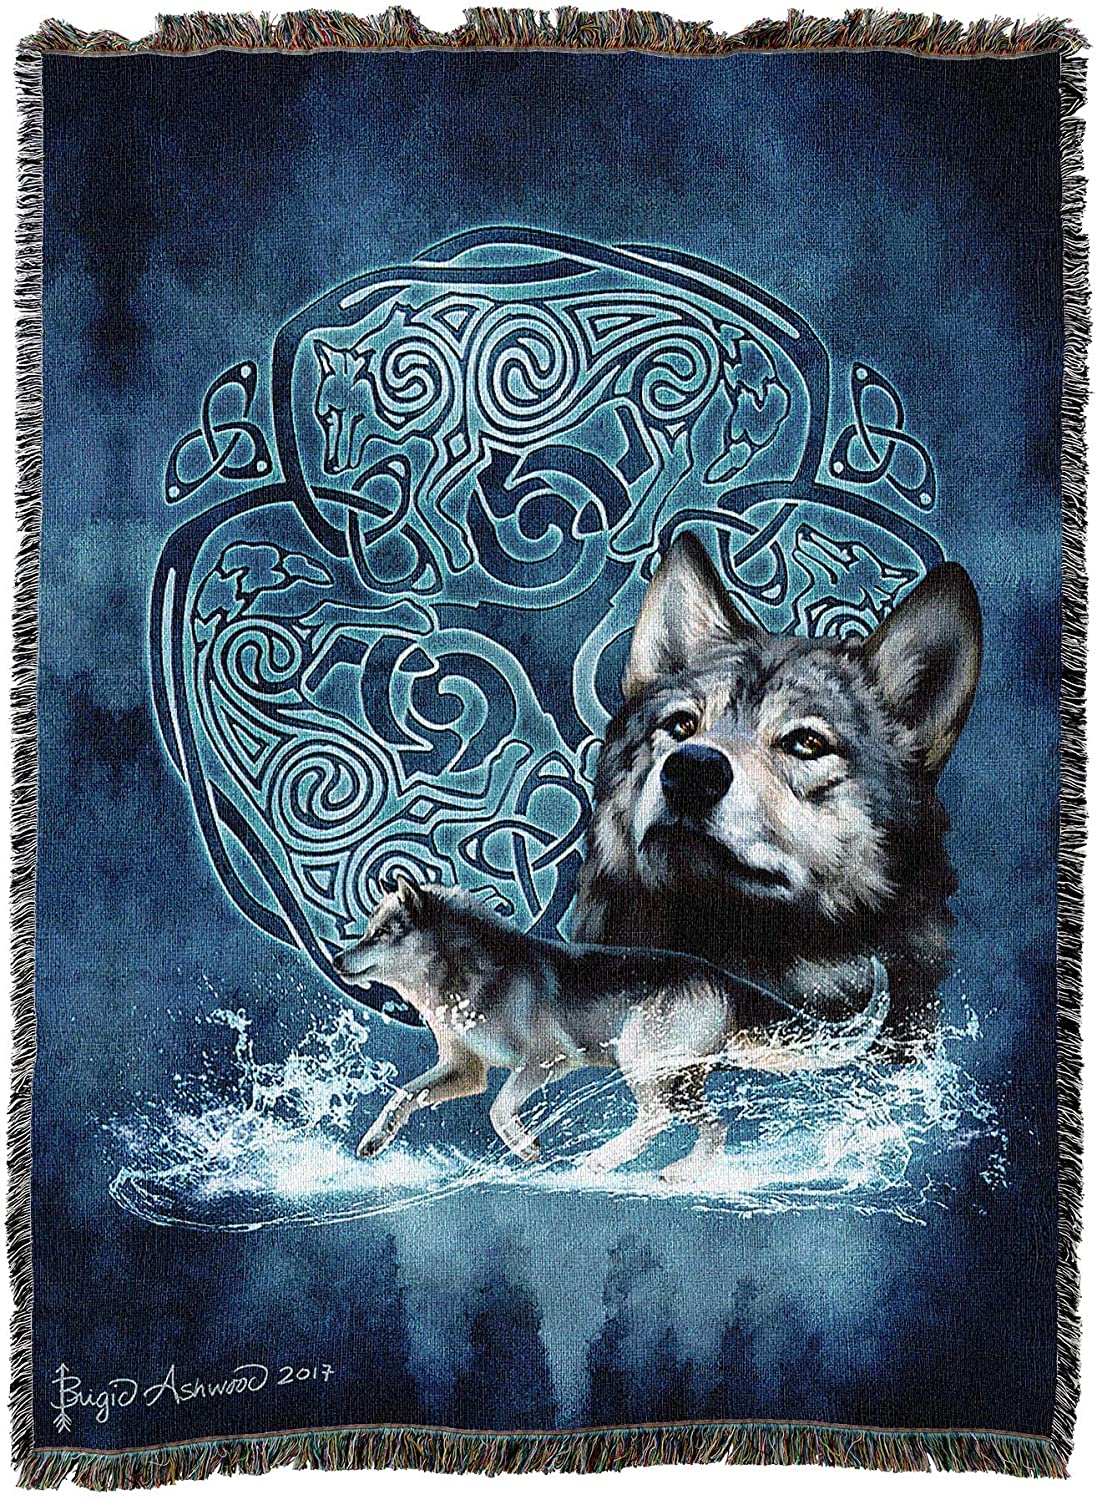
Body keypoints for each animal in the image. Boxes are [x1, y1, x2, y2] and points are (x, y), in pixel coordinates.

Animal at [335, 879, 889, 1181]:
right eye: (367, 929)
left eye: (382, 934)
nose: (339, 960)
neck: (469, 981)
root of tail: (721, 977)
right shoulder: (464, 1071)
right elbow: (402, 1096)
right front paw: (372, 1143)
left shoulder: (545, 1064)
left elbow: (497, 1111)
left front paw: (528, 1148)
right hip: (677, 1080)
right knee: (712, 1123)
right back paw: (678, 1174)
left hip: (640, 1066)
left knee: (660, 1120)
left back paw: (598, 1163)